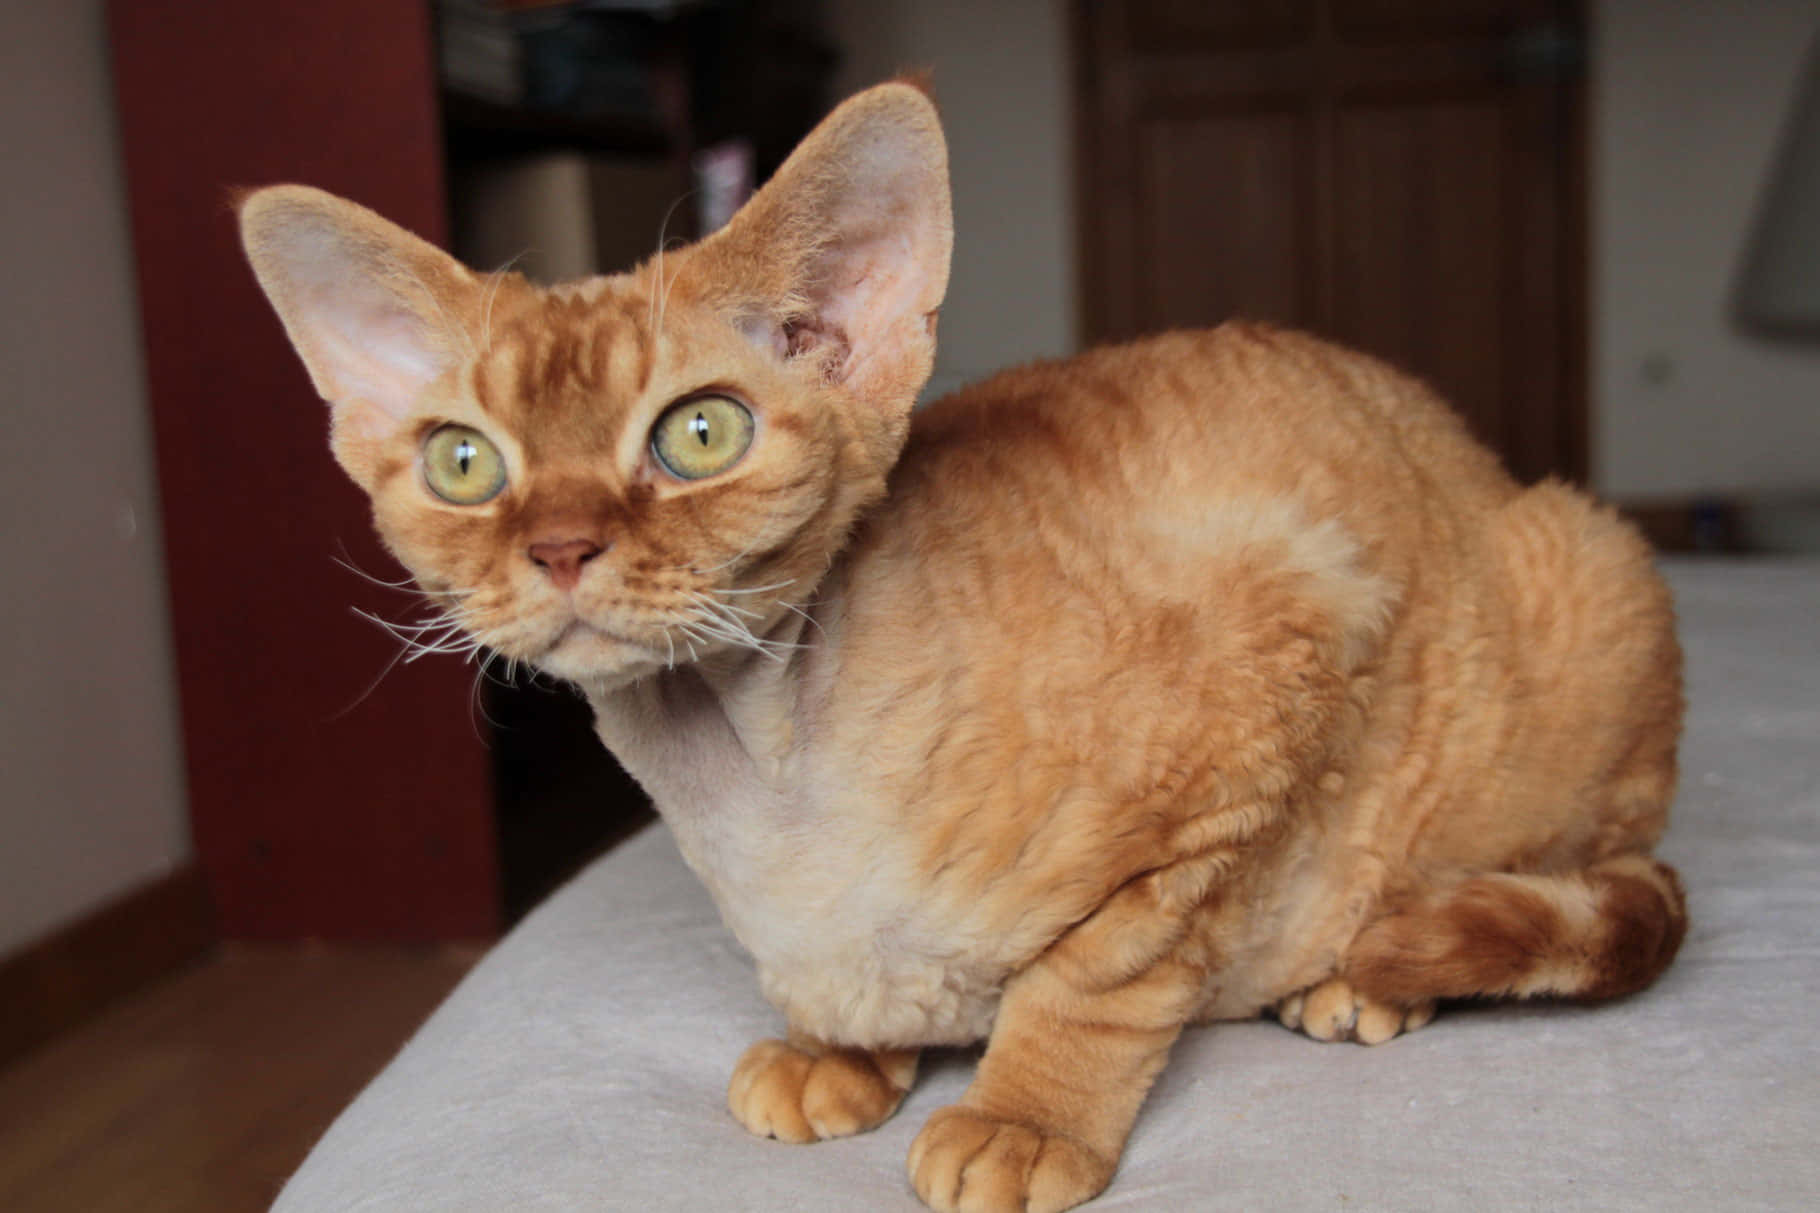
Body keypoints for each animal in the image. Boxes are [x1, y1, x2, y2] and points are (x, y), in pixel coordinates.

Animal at [234, 82, 1681, 1209]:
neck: (747, 782)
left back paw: (1365, 978)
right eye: (463, 463)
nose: (560, 546)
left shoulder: (1278, 664)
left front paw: (1021, 1117)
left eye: (699, 433)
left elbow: (1100, 973)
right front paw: (834, 1048)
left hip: (1591, 574)